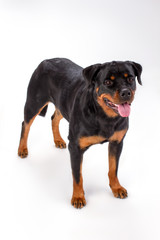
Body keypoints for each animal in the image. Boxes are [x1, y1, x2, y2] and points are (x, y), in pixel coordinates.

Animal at [18, 57, 142, 208]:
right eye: (107, 82)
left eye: (130, 78)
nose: (126, 92)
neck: (104, 116)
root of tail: (45, 61)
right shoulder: (75, 147)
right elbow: (77, 176)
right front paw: (78, 197)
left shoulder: (117, 143)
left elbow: (113, 169)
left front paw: (116, 188)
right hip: (34, 102)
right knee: (26, 124)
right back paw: (22, 149)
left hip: (62, 104)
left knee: (54, 118)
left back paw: (58, 140)